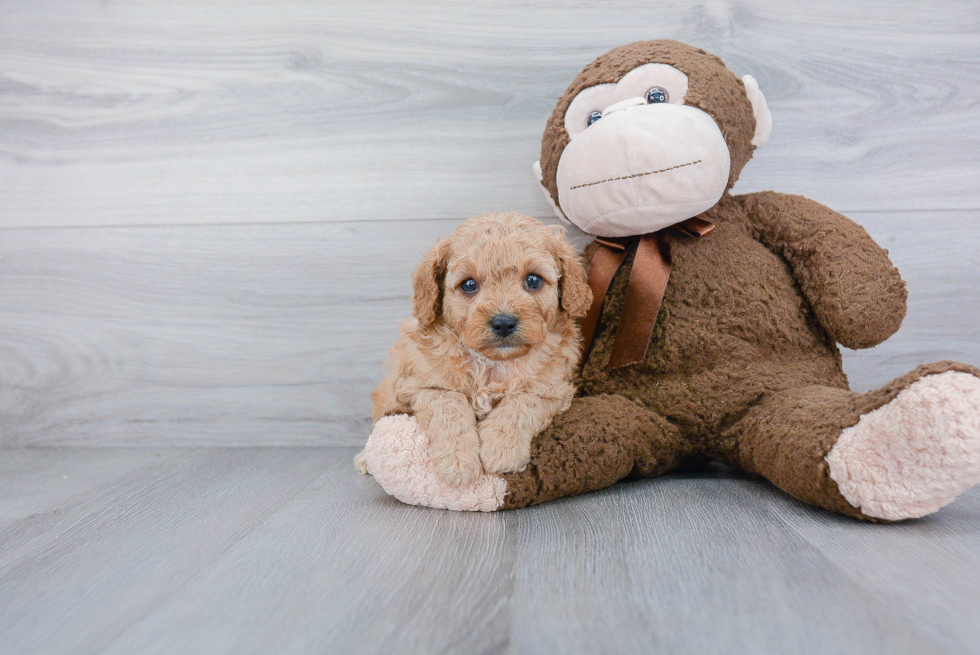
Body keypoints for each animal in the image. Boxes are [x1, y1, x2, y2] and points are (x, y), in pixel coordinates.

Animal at [356, 211, 592, 486]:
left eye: (533, 280)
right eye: (469, 285)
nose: (503, 322)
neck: (493, 363)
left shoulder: (552, 389)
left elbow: (521, 403)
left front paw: (501, 449)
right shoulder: (422, 386)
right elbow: (449, 406)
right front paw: (458, 463)